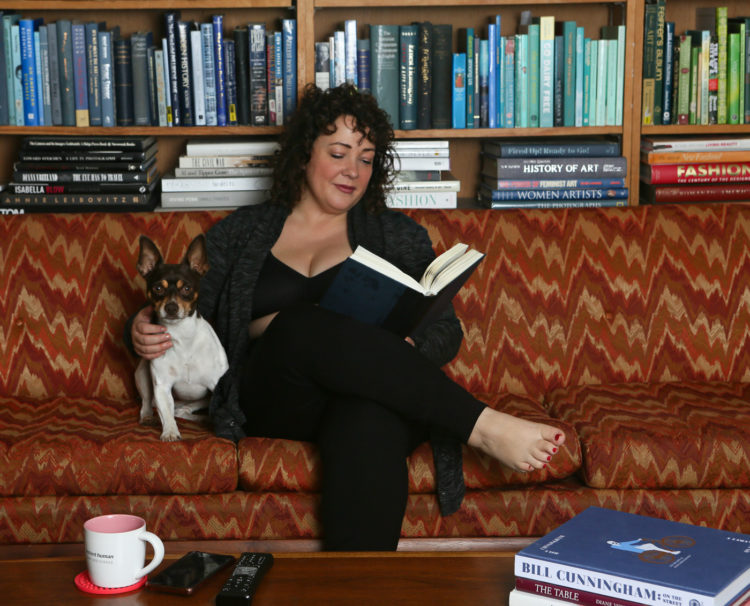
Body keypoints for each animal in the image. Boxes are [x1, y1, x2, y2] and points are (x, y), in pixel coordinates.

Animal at [135, 236, 229, 442]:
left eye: (186, 288)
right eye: (158, 288)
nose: (171, 307)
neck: (182, 336)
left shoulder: (216, 385)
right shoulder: (162, 386)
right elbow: (166, 414)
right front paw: (170, 431)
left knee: (186, 411)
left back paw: (201, 418)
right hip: (142, 372)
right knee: (151, 403)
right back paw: (147, 416)